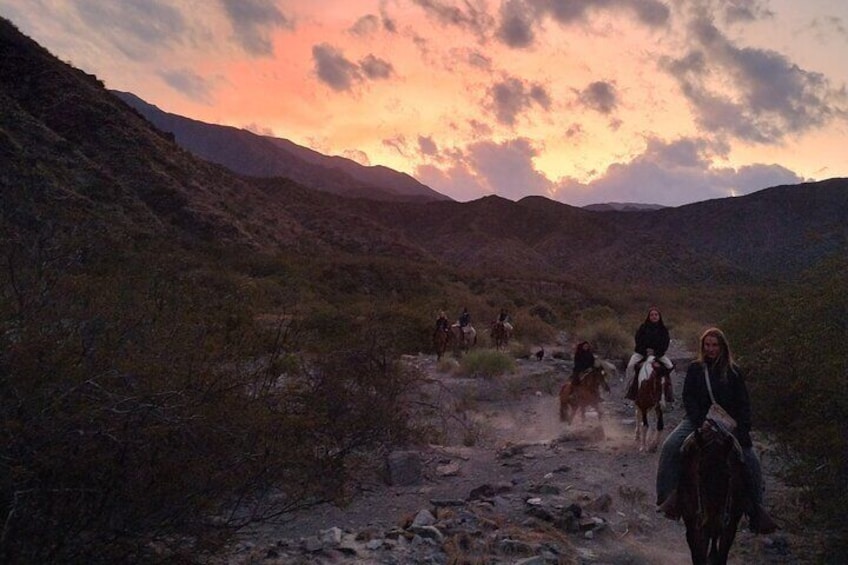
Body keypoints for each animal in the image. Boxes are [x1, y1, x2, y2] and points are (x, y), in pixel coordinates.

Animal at [680, 418, 744, 564]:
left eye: (729, 475)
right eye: (699, 473)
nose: (713, 521)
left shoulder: (729, 525)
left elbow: (722, 555)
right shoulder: (695, 525)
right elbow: (698, 555)